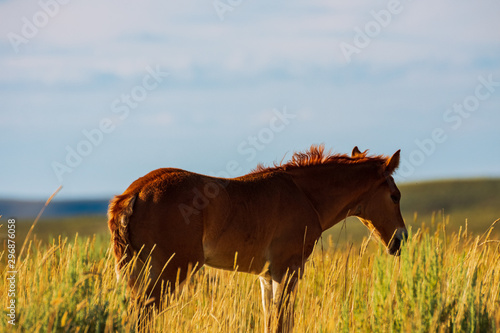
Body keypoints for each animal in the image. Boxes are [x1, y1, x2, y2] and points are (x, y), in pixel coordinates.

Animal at [108, 144, 406, 330]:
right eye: (395, 196)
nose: (400, 239)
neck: (304, 195)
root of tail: (134, 193)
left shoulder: (267, 275)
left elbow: (270, 319)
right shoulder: (288, 269)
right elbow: (283, 321)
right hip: (170, 272)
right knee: (143, 316)